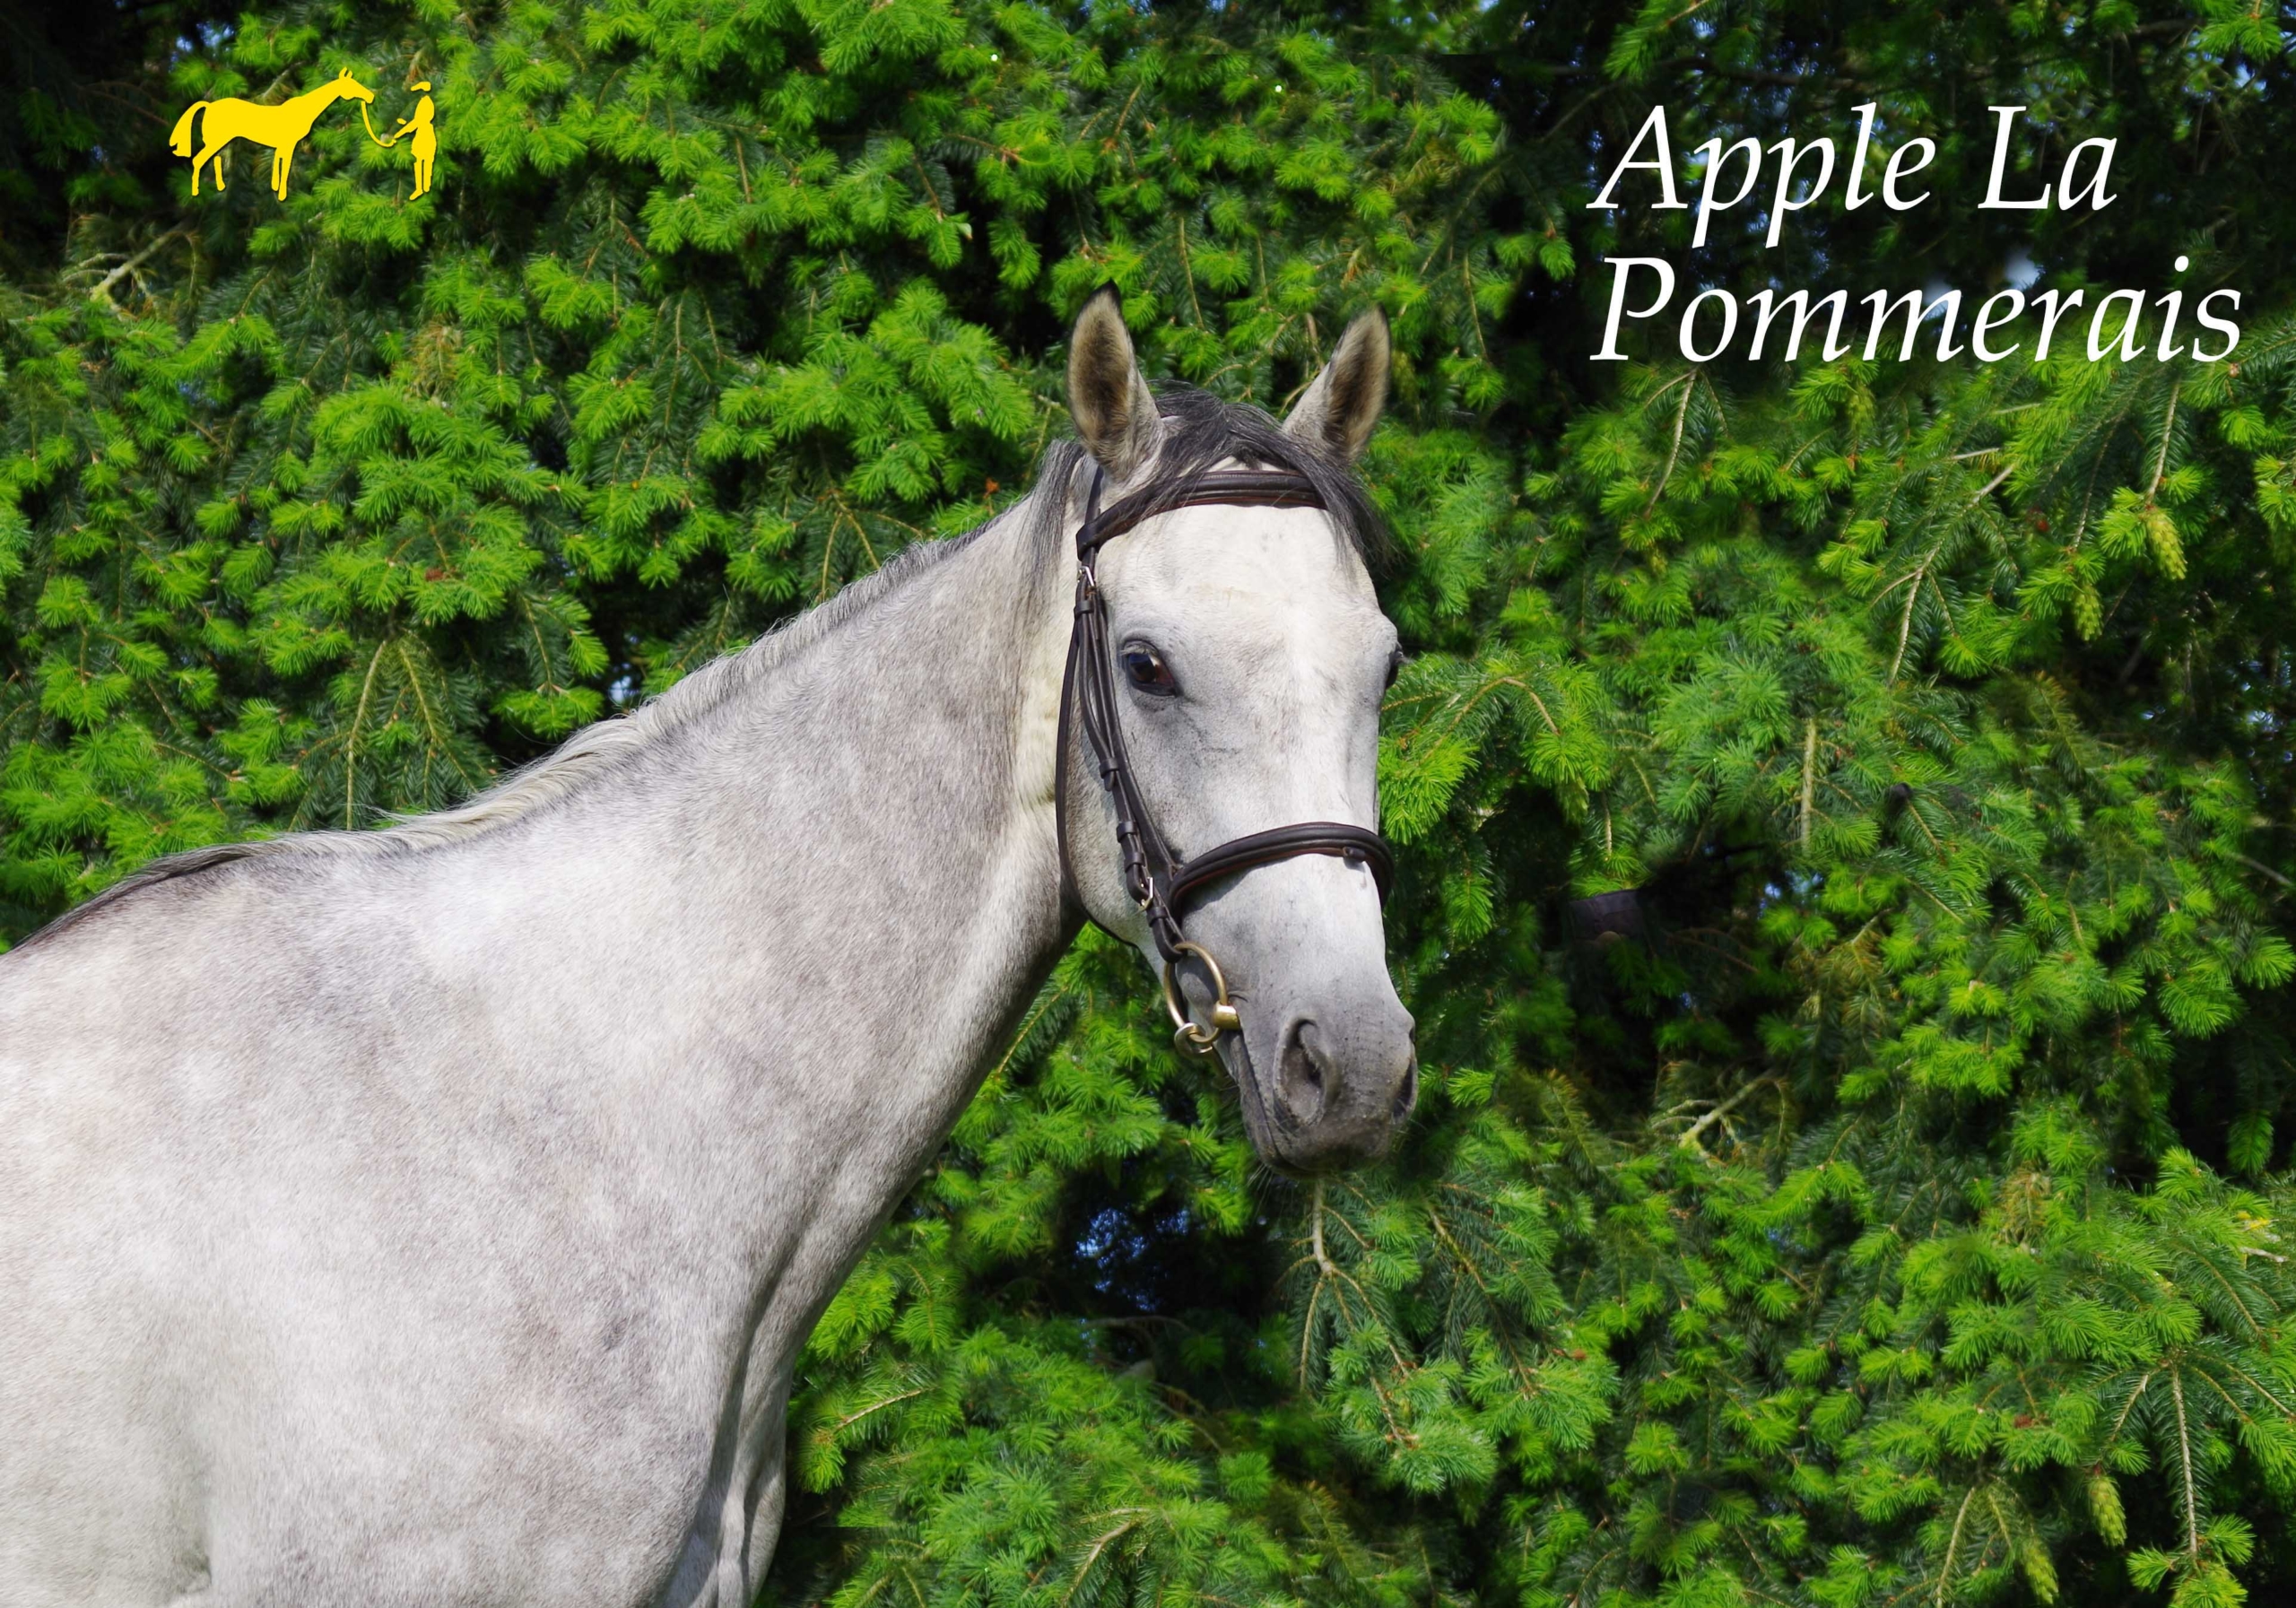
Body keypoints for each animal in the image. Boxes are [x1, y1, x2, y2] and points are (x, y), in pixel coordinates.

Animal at [166, 68, 374, 201]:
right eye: (352, 84)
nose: (371, 96)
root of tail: (208, 106)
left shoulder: (282, 145)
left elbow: (277, 167)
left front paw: (276, 190)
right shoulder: (289, 144)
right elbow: (285, 168)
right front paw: (284, 194)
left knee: (218, 160)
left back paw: (221, 188)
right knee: (199, 160)